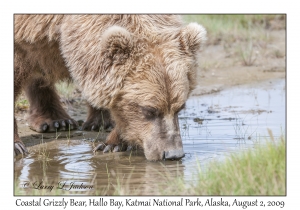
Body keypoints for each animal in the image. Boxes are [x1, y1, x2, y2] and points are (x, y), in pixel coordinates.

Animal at [14, 14, 206, 161]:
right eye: (149, 110)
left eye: (180, 108)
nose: (173, 154)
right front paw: (17, 146)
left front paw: (113, 144)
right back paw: (55, 121)